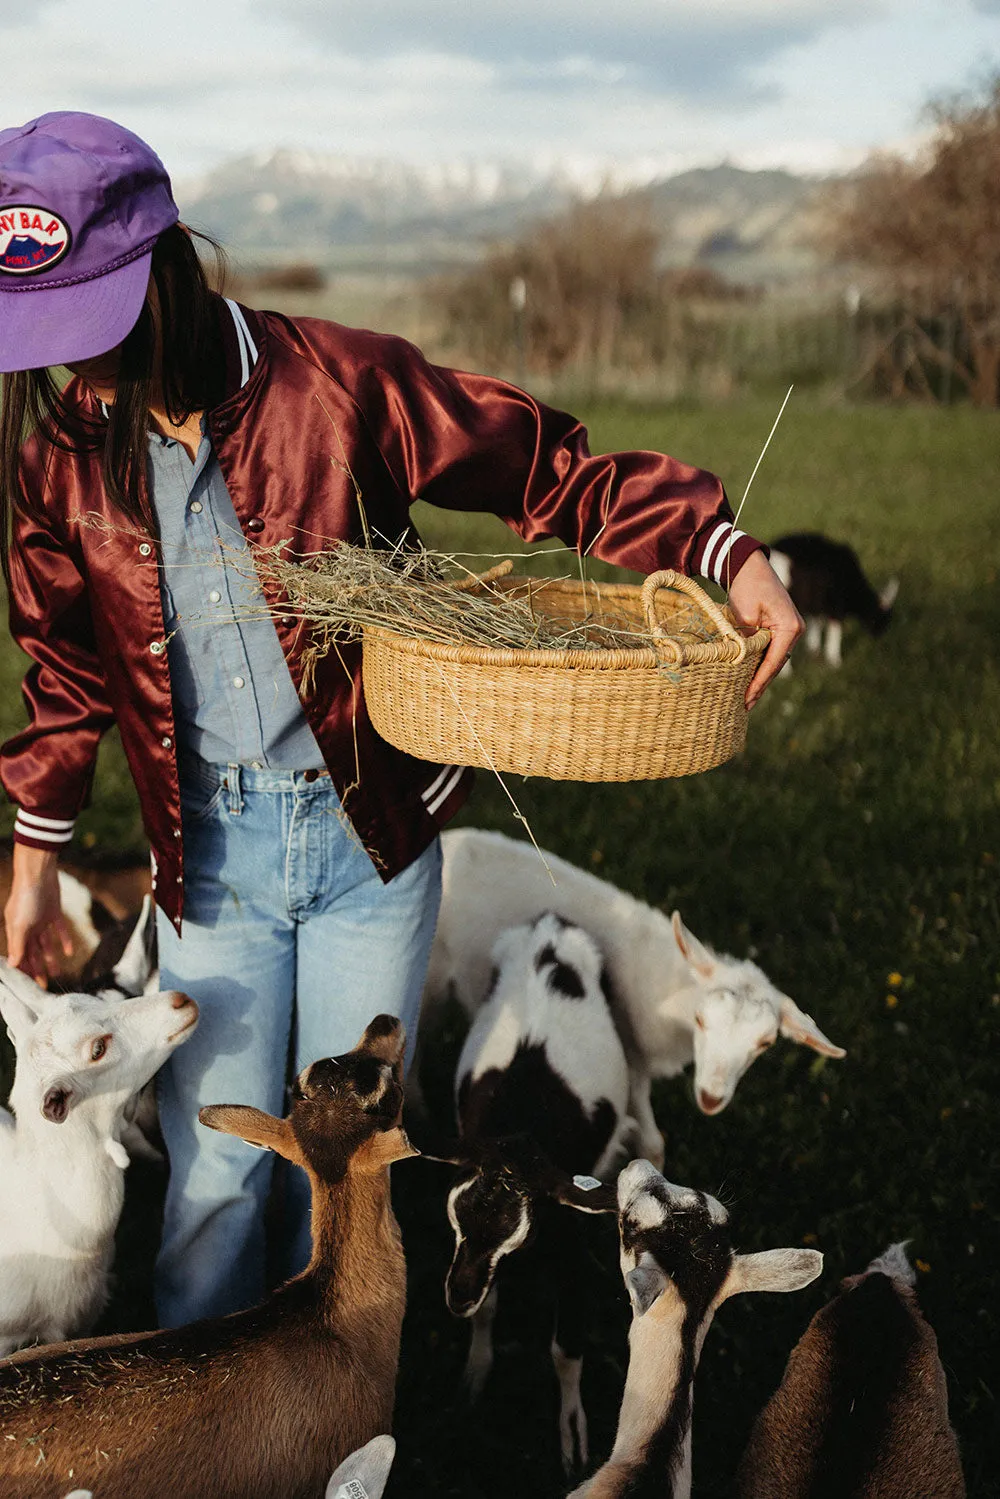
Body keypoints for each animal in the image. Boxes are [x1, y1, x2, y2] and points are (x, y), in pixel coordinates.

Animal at [434, 911, 629, 1475]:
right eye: (454, 1224)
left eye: (516, 1238)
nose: (456, 1297)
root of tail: (551, 922)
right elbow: (489, 1309)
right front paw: (474, 1376)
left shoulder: (572, 1248)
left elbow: (566, 1349)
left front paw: (573, 1436)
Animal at [767, 530, 899, 665]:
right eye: (883, 618)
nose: (881, 640)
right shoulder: (836, 605)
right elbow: (835, 631)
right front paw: (834, 660)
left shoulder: (815, 602)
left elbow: (816, 623)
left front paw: (813, 649)